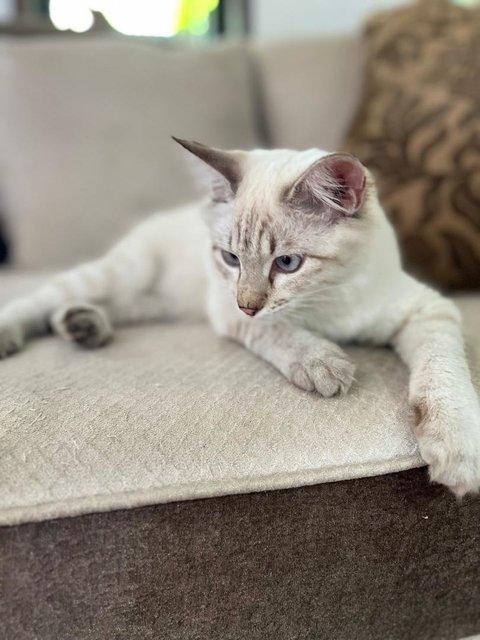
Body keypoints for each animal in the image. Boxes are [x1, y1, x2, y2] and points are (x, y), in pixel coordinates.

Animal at [0, 140, 480, 498]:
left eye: (287, 263)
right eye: (231, 258)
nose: (247, 304)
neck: (325, 300)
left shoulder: (429, 310)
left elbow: (444, 376)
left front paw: (457, 453)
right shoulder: (227, 308)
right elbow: (281, 331)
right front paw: (323, 365)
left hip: (163, 302)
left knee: (111, 306)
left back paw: (83, 326)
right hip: (125, 274)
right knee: (45, 298)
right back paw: (25, 332)